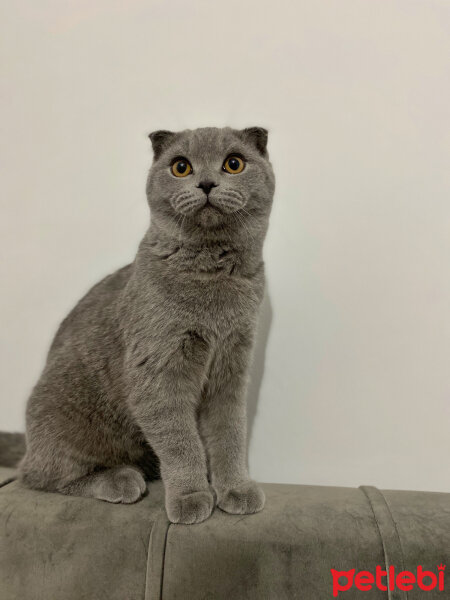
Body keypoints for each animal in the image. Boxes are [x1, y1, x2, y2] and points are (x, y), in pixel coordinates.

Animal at [9, 126, 274, 524]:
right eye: (181, 166)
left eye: (234, 163)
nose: (206, 183)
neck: (212, 279)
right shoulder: (158, 370)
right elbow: (180, 441)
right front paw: (191, 497)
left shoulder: (232, 365)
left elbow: (229, 434)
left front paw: (236, 490)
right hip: (62, 407)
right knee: (40, 475)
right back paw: (122, 479)